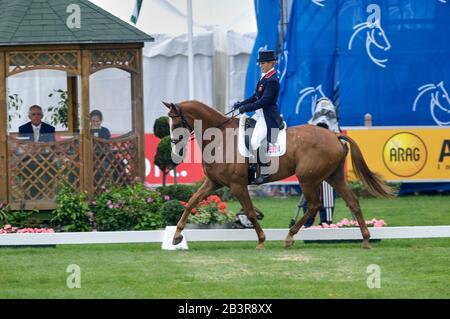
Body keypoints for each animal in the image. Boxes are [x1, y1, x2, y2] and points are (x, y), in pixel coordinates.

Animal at [163, 100, 394, 250]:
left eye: (177, 124)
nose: (175, 152)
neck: (220, 137)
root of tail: (334, 136)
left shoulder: (237, 185)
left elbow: (249, 212)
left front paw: (261, 240)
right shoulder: (213, 183)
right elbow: (191, 202)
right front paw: (176, 236)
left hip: (307, 179)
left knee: (314, 205)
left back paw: (290, 237)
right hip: (333, 177)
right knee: (352, 202)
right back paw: (365, 240)